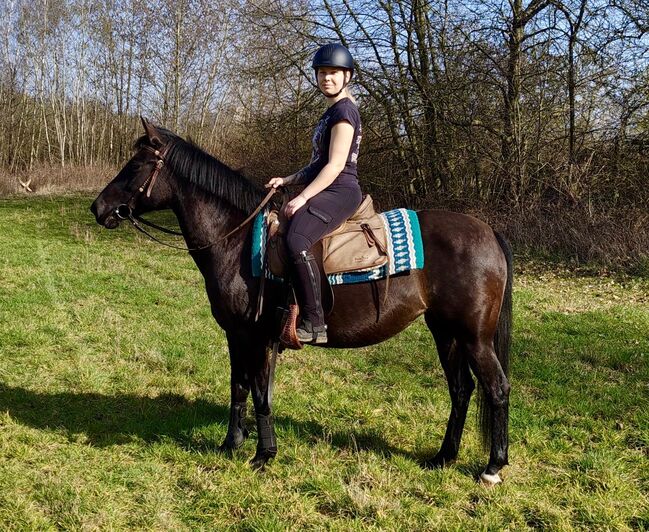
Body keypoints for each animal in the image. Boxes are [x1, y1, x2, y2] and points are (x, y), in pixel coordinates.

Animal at [90, 118, 513, 485]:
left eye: (137, 165)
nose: (99, 208)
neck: (238, 242)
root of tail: (489, 232)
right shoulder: (235, 335)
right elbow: (238, 388)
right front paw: (230, 444)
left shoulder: (257, 337)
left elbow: (260, 393)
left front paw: (263, 455)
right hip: (445, 332)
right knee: (461, 390)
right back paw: (443, 457)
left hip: (474, 337)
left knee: (496, 389)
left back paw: (492, 467)